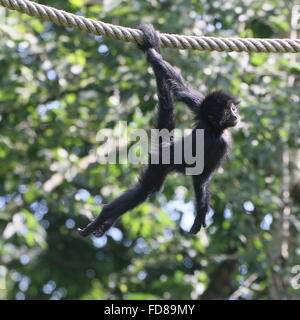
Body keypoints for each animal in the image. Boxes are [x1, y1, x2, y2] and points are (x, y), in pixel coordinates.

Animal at [78, 23, 240, 238]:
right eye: (229, 111)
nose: (236, 114)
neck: (214, 127)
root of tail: (166, 146)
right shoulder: (218, 144)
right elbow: (200, 179)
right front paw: (200, 215)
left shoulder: (200, 104)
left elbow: (179, 87)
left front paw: (154, 54)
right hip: (159, 164)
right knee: (145, 189)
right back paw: (101, 218)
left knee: (146, 190)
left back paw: (106, 223)